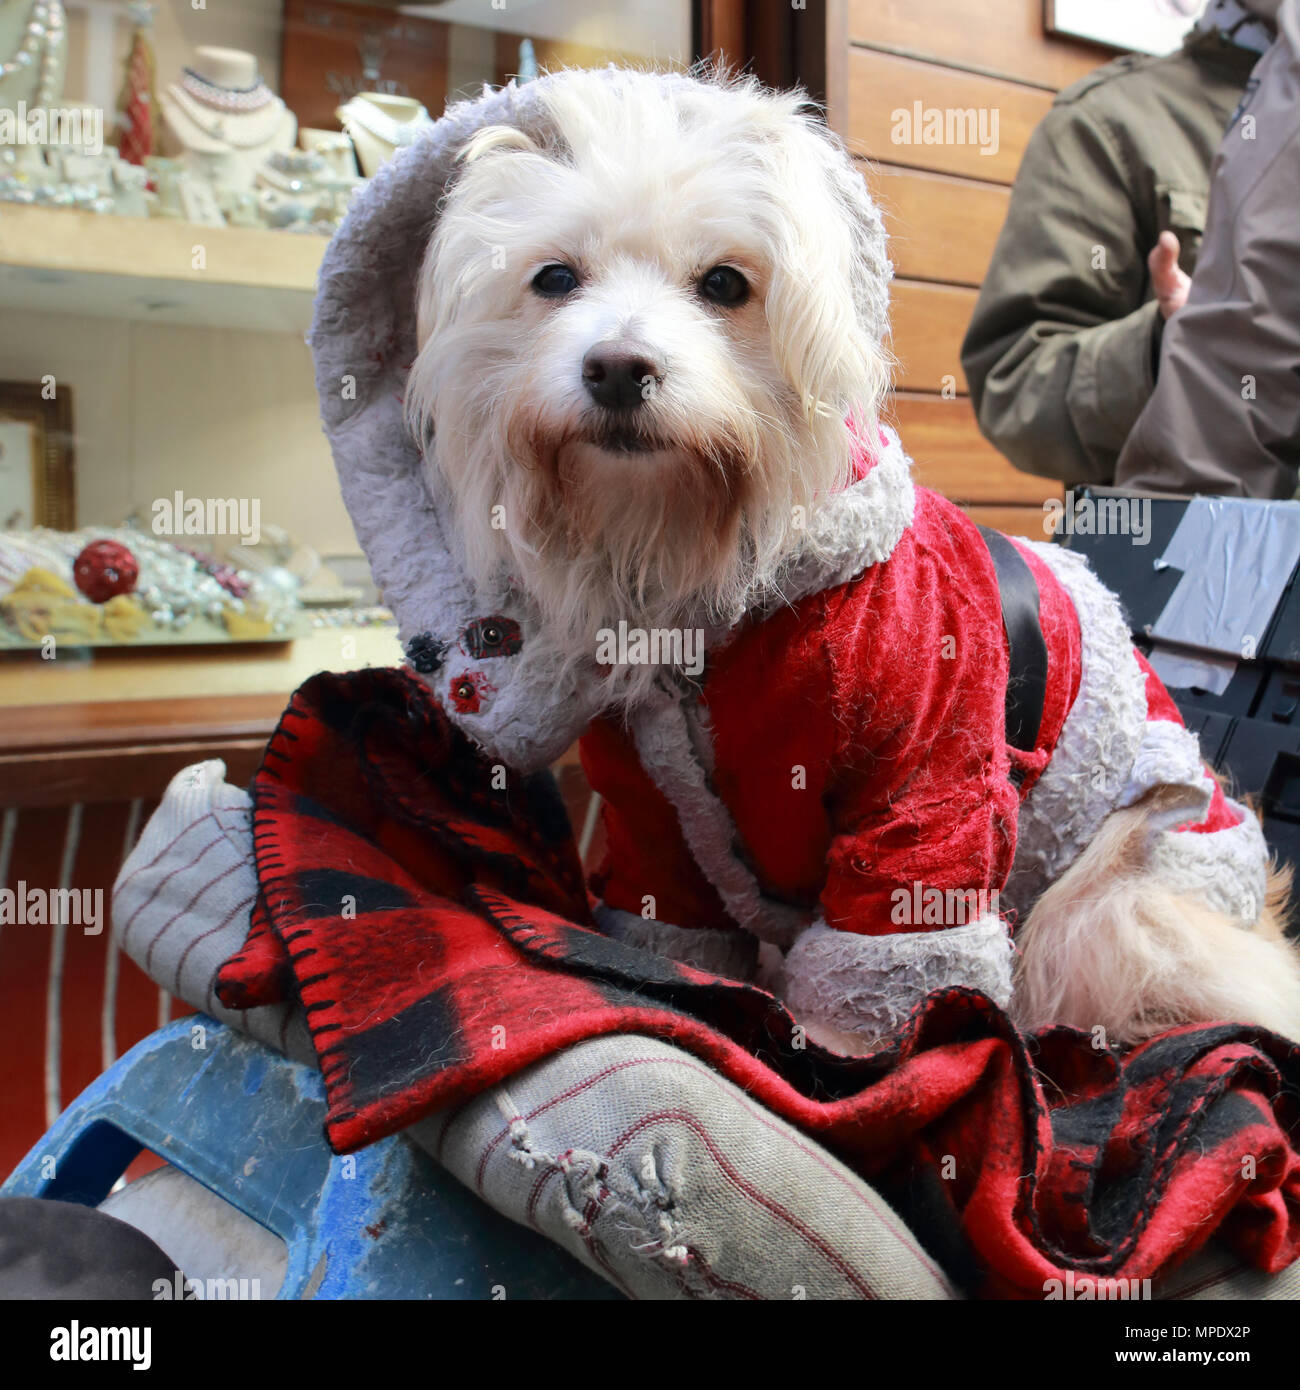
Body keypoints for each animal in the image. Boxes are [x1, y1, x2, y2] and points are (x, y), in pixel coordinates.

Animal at [405, 62, 1300, 1045]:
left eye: (726, 284)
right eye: (555, 278)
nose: (616, 368)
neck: (709, 576)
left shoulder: (930, 796)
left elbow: (883, 979)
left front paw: (851, 1057)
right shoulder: (654, 818)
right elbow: (673, 927)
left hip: (1118, 900)